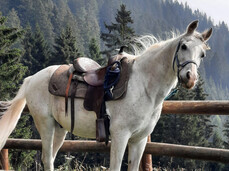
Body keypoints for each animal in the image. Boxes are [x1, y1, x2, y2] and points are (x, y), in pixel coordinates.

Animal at [0, 20, 212, 170]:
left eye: (202, 54)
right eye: (184, 46)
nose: (190, 78)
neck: (143, 86)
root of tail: (32, 78)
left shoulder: (139, 140)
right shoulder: (120, 136)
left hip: (60, 128)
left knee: (50, 158)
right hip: (45, 125)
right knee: (47, 159)